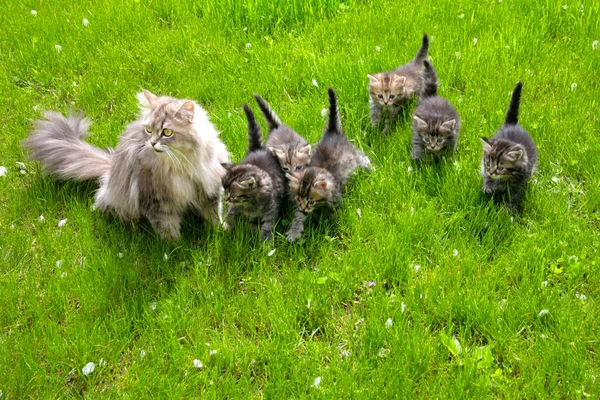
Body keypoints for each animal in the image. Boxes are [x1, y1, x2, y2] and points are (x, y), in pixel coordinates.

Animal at [22, 90, 230, 239]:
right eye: (149, 130)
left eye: (167, 132)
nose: (152, 143)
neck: (180, 164)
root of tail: (109, 169)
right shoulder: (154, 199)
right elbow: (167, 227)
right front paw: (174, 249)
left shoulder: (209, 186)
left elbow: (213, 214)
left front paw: (221, 230)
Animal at [221, 104, 288, 241]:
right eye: (224, 191)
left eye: (232, 195)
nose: (225, 199)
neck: (249, 203)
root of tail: (257, 149)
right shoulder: (235, 207)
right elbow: (231, 213)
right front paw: (227, 226)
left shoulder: (271, 210)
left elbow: (267, 226)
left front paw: (265, 242)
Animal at [286, 88, 370, 242]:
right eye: (298, 199)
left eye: (311, 202)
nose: (304, 207)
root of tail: (333, 131)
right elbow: (299, 216)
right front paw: (295, 231)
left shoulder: (335, 196)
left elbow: (335, 213)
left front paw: (333, 228)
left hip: (354, 155)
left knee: (362, 157)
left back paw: (371, 169)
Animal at [480, 82, 536, 211]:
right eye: (488, 163)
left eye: (500, 168)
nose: (491, 172)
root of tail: (512, 124)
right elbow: (486, 177)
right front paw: (488, 187)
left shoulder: (518, 183)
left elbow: (511, 196)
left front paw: (506, 209)